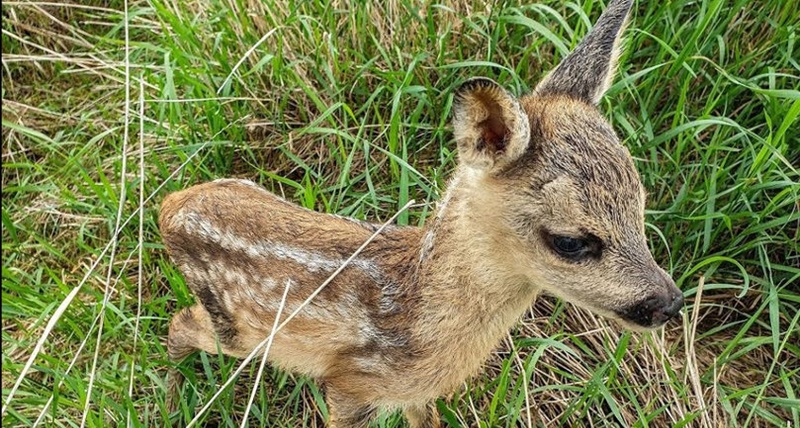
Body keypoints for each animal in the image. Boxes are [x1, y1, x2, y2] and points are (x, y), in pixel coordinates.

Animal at [159, 0, 684, 426]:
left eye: (641, 204)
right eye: (571, 241)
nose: (671, 303)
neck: (419, 318)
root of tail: (169, 208)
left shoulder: (416, 392)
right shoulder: (349, 384)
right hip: (237, 328)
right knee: (180, 322)